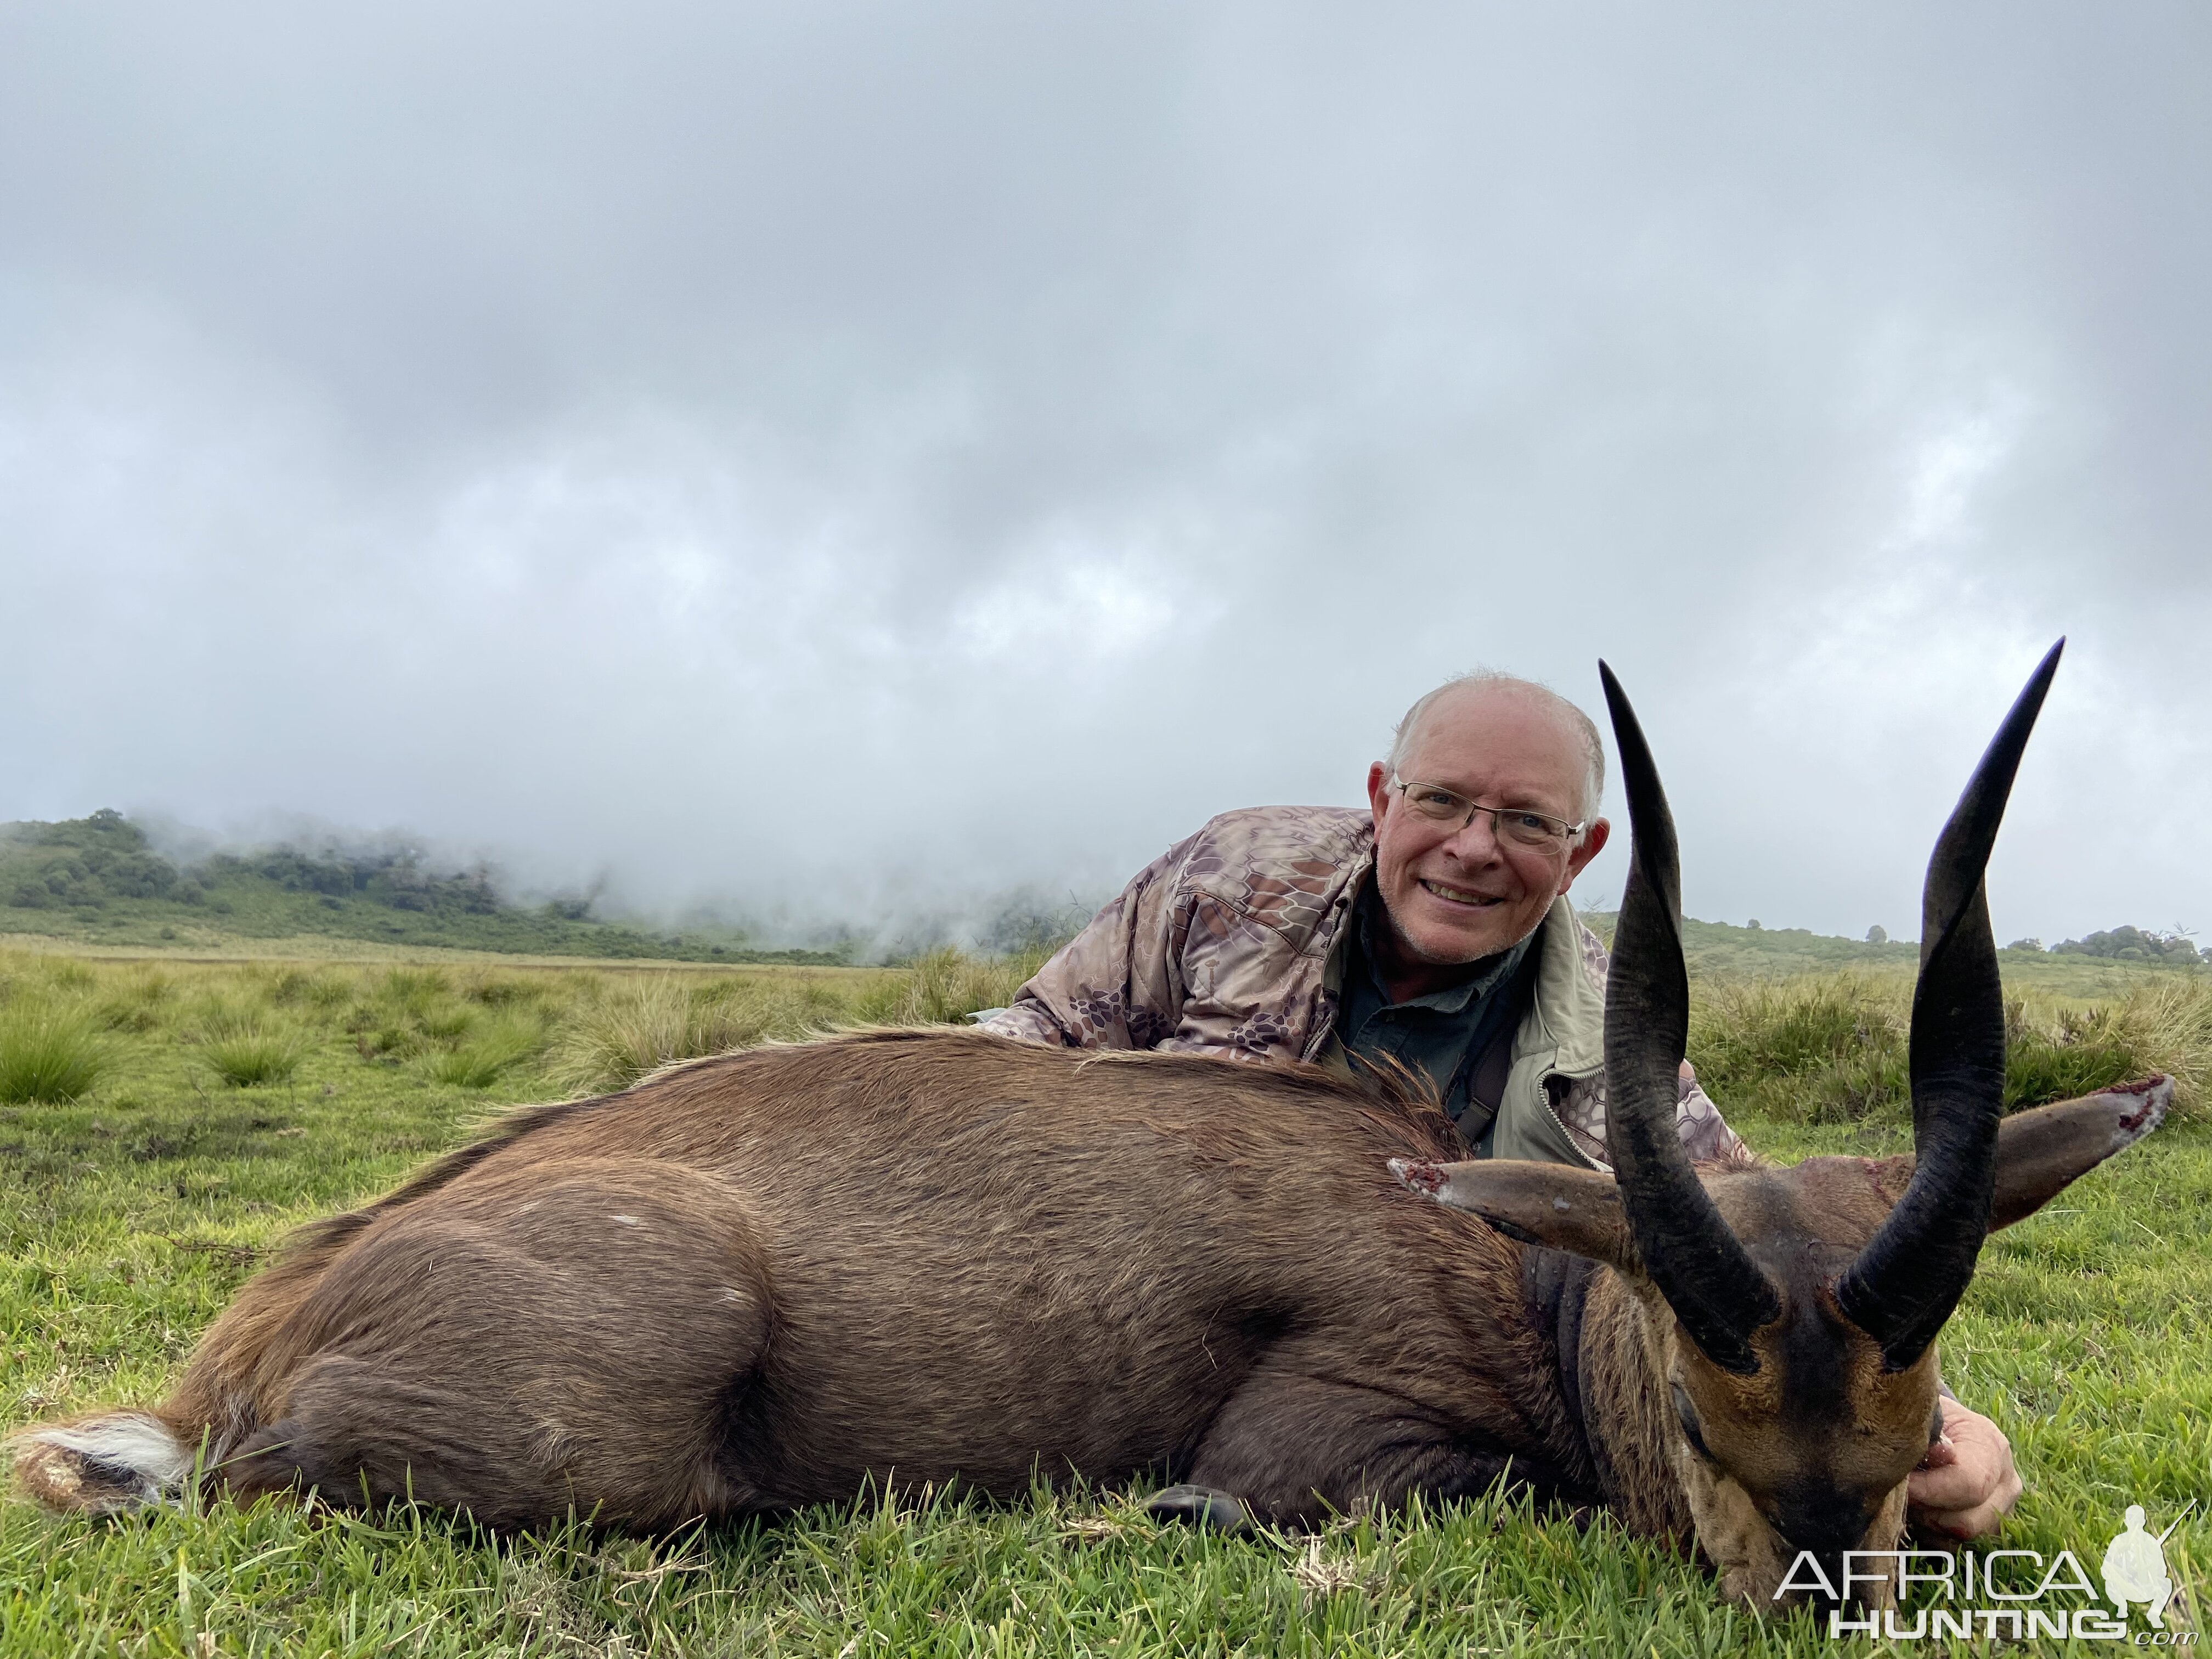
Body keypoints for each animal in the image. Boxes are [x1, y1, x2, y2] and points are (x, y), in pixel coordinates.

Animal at [13, 650, 2159, 1610]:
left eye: (1913, 1419)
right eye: (1711, 1422)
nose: (1818, 1591)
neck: (1506, 1264)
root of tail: (249, 1347)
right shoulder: (1328, 1431)